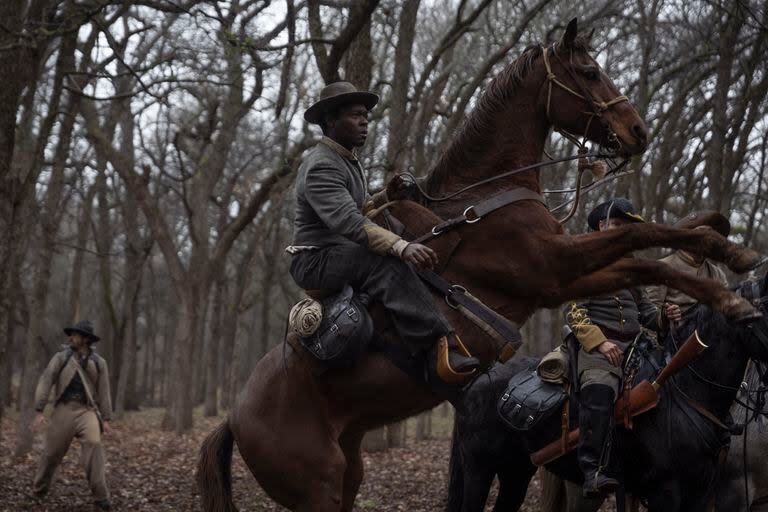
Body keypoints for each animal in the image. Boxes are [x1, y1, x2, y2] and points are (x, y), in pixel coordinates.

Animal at [198, 18, 760, 510]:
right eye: (589, 71)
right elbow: (644, 242)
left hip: (350, 471)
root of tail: (236, 416)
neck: (484, 198)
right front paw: (730, 292)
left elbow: (651, 244)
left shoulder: (566, 272)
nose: (637, 129)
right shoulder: (552, 270)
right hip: (318, 487)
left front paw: (727, 245)